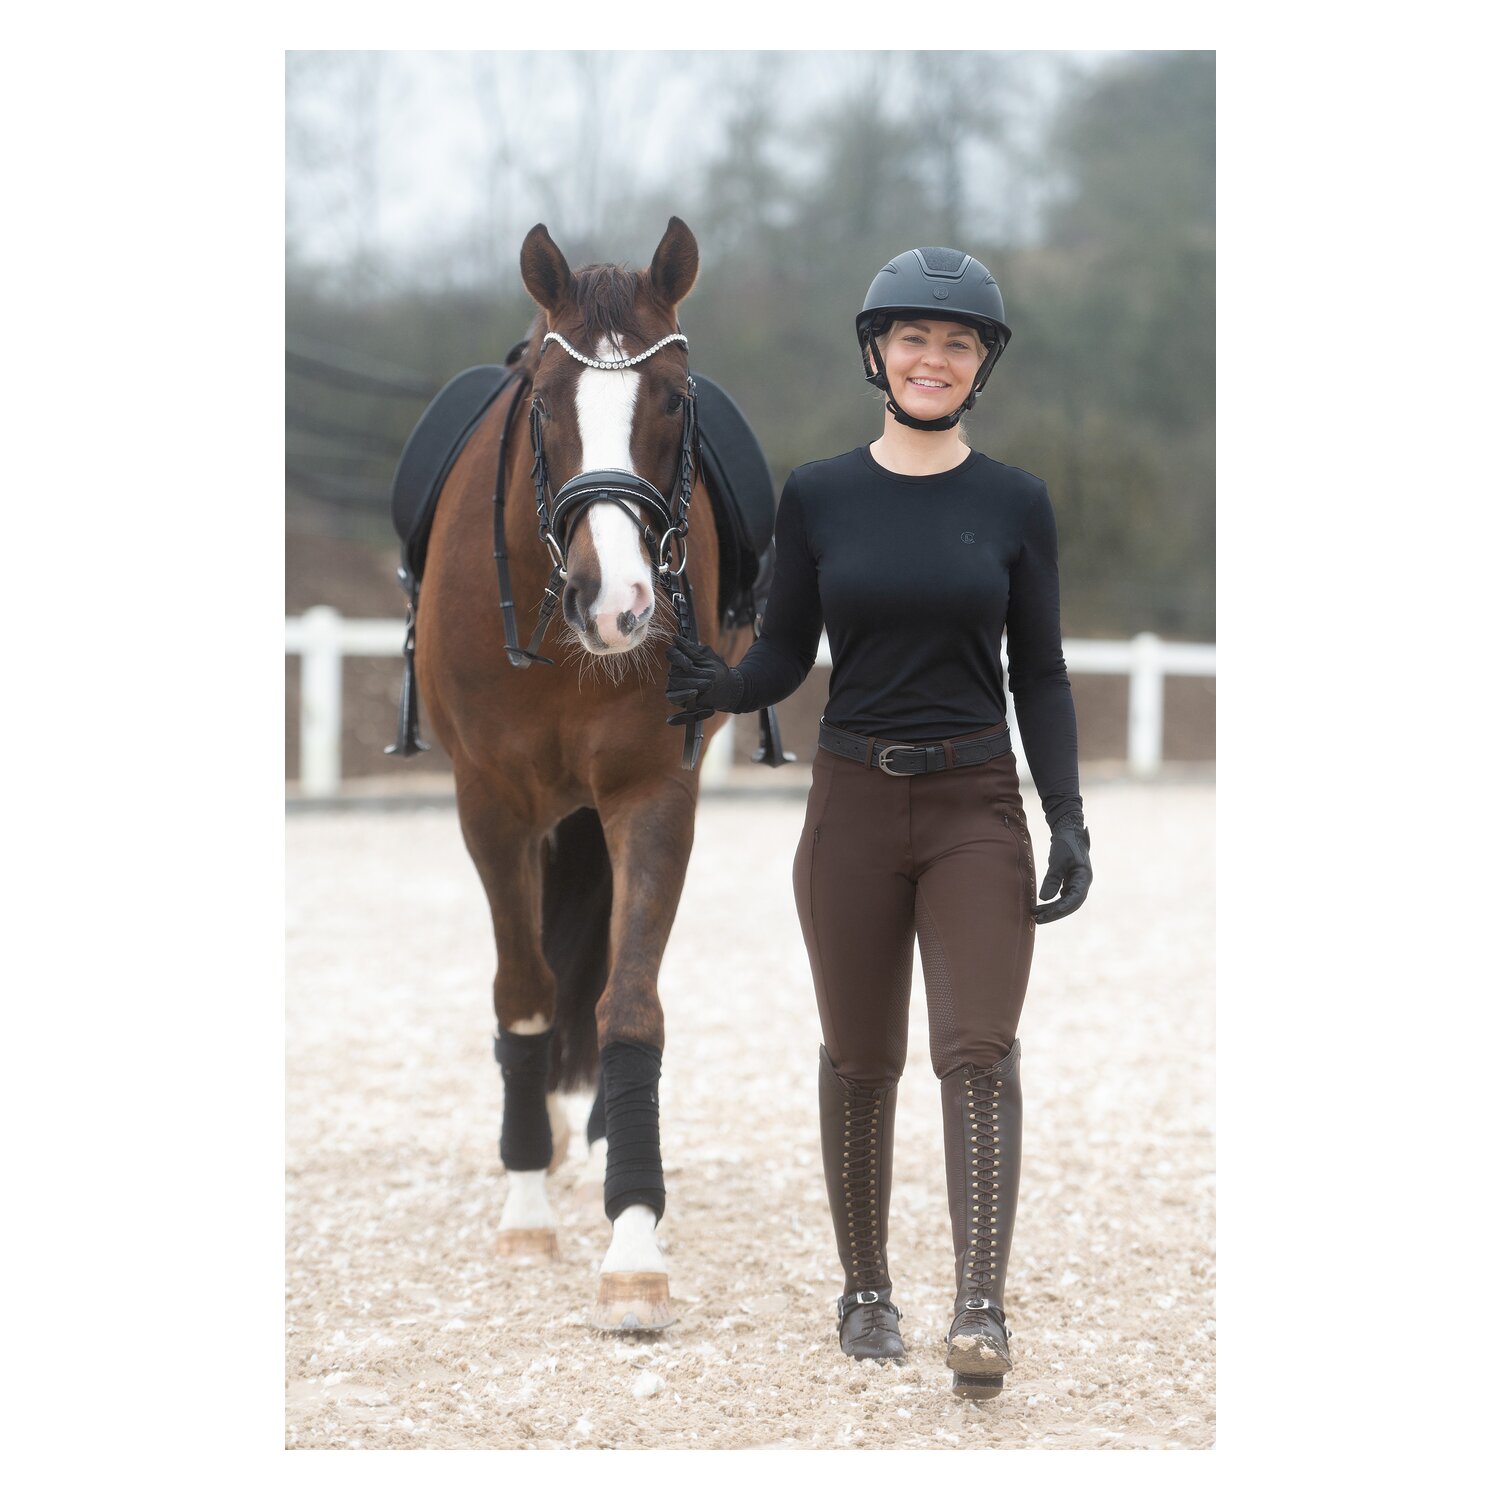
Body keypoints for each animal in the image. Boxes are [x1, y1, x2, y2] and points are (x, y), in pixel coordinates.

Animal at [414, 218, 750, 1331]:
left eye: (675, 398)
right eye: (546, 403)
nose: (621, 605)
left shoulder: (652, 793)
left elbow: (628, 1004)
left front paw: (633, 1241)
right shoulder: (490, 806)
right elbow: (523, 994)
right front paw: (525, 1206)